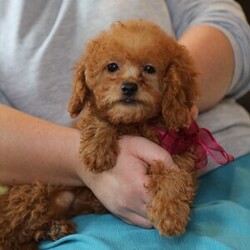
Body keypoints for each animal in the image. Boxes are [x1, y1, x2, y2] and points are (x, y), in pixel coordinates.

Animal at [0, 20, 201, 250]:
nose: (129, 87)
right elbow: (97, 118)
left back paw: (56, 228)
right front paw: (97, 153)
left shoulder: (179, 151)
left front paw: (170, 215)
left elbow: (174, 177)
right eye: (112, 67)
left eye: (149, 69)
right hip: (34, 193)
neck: (135, 123)